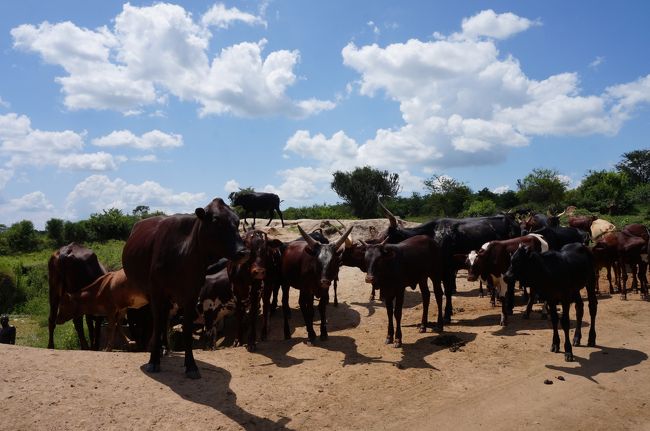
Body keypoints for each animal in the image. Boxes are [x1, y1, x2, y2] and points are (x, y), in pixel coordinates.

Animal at [121, 197, 248, 380]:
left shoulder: (191, 293)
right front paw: (153, 361)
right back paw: (160, 350)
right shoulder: (156, 291)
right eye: (216, 221)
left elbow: (187, 328)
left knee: (165, 320)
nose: (243, 251)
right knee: (160, 321)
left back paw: (165, 349)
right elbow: (157, 324)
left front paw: (191, 366)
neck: (182, 255)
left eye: (237, 222)